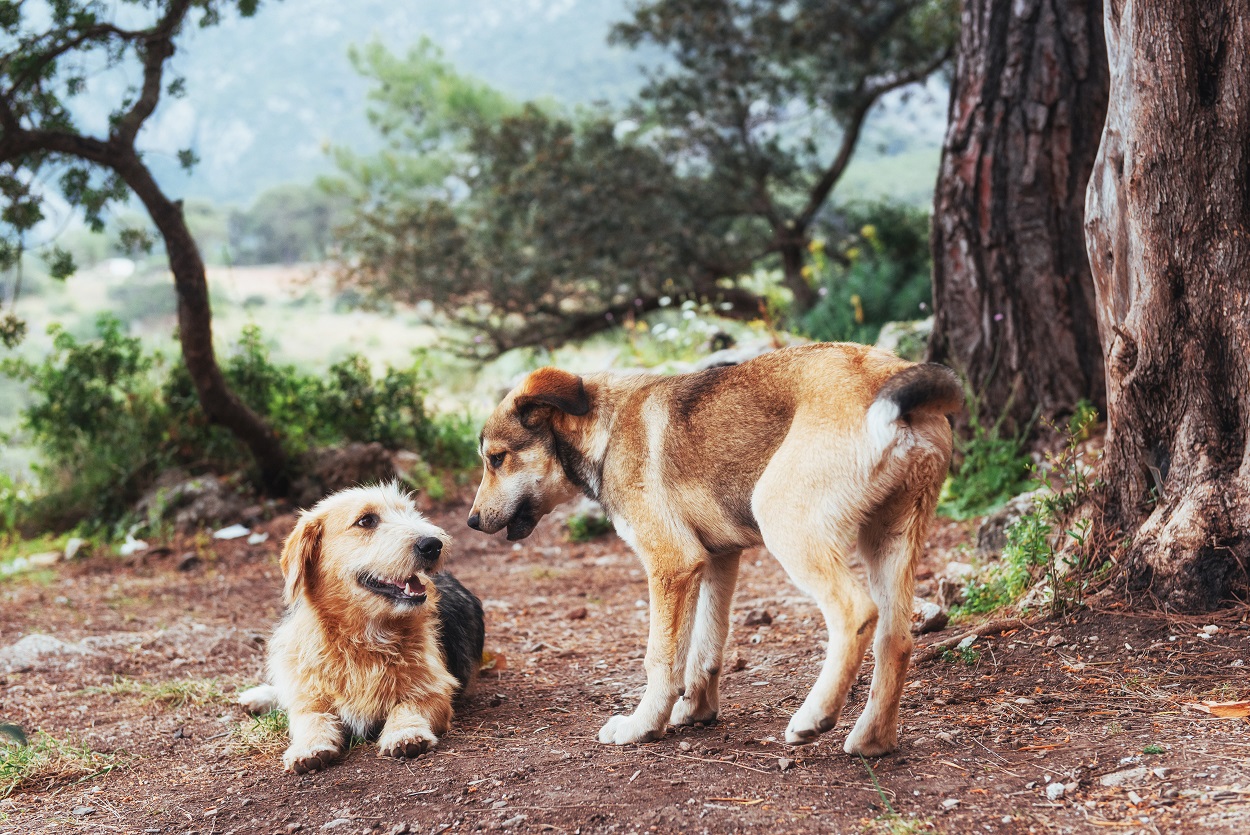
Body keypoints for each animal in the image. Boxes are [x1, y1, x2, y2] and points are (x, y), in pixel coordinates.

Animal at [242, 485, 482, 775]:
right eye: (366, 521)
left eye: (410, 512)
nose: (433, 544)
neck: (361, 638)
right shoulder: (310, 698)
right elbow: (310, 717)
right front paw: (308, 747)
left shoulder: (435, 690)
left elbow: (408, 706)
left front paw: (405, 733)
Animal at [467, 342, 955, 755]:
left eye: (496, 459)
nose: (471, 522)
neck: (604, 428)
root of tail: (888, 372)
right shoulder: (717, 559)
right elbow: (705, 647)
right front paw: (697, 711)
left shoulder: (672, 564)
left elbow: (662, 660)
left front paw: (643, 726)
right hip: (888, 542)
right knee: (896, 640)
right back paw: (873, 739)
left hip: (785, 521)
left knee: (857, 613)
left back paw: (814, 717)